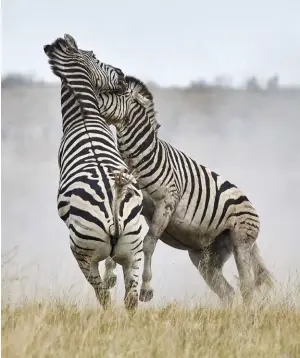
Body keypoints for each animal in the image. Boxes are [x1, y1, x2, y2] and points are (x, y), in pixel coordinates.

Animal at [43, 35, 149, 312]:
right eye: (97, 57)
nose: (122, 74)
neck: (83, 113)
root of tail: (114, 198)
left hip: (83, 253)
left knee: (102, 295)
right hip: (134, 249)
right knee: (129, 299)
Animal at [93, 75, 274, 304]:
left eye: (116, 93)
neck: (138, 159)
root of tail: (248, 201)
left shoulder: (166, 203)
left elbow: (149, 243)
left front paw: (146, 289)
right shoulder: (125, 199)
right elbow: (120, 234)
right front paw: (109, 276)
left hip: (240, 242)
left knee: (247, 286)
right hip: (206, 256)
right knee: (228, 292)